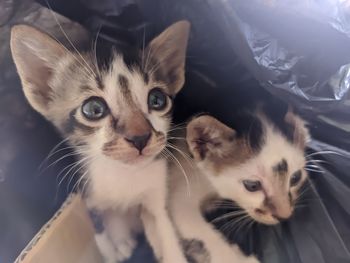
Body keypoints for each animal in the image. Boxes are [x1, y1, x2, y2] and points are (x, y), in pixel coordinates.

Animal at [10, 21, 190, 263]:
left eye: (157, 99)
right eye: (94, 109)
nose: (140, 138)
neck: (124, 174)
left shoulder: (156, 195)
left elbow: (165, 231)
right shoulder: (88, 196)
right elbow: (101, 235)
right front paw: (114, 250)